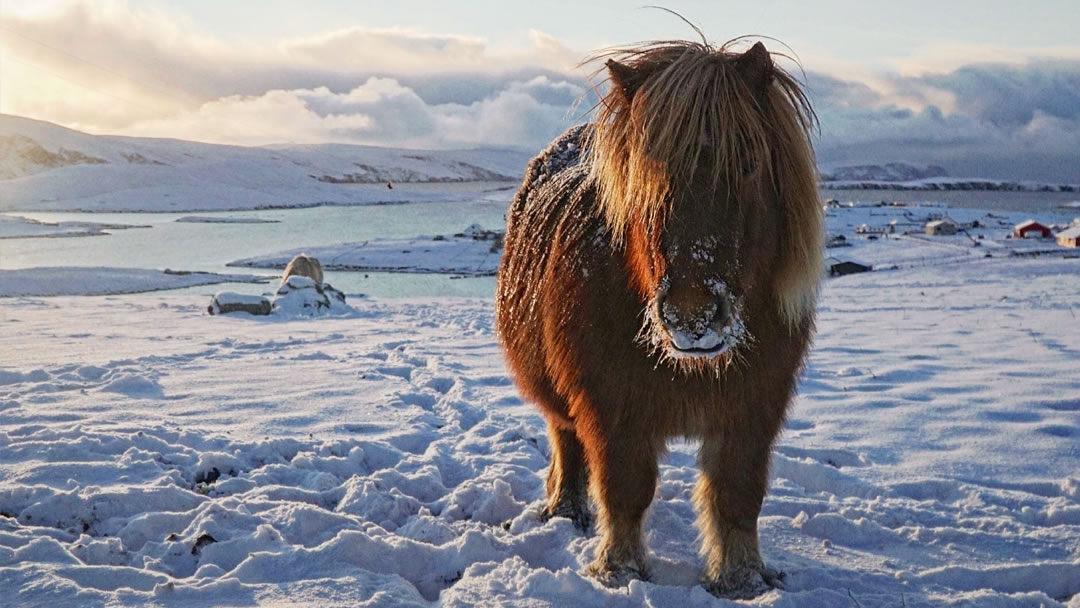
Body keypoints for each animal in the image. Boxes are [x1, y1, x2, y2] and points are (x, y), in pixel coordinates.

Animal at [494, 39, 820, 600]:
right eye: (643, 175)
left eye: (749, 163)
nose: (692, 315)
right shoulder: (611, 405)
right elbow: (625, 488)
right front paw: (619, 570)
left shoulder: (755, 406)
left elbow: (737, 494)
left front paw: (742, 579)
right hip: (554, 390)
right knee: (566, 440)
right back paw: (566, 510)